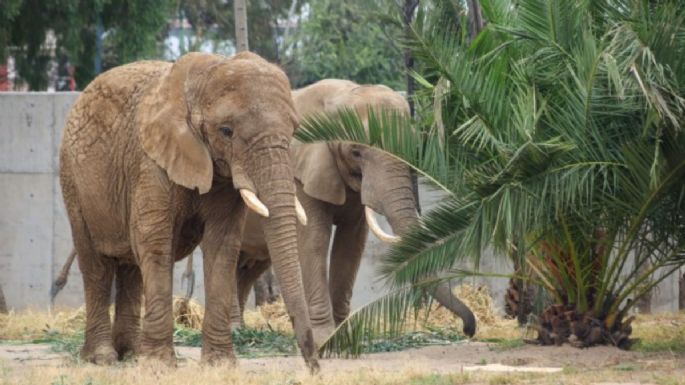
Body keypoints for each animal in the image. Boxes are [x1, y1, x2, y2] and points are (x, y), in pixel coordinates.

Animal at [57, 51, 316, 368]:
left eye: (294, 130)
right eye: (226, 131)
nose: (315, 368)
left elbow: (222, 247)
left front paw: (220, 364)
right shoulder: (150, 162)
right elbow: (155, 243)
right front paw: (158, 365)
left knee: (131, 267)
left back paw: (131, 353)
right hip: (73, 179)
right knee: (96, 266)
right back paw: (103, 358)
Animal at [230, 79, 476, 344]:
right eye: (356, 152)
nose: (468, 330)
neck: (341, 94)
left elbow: (351, 245)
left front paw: (341, 337)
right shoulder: (300, 172)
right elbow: (314, 240)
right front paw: (323, 338)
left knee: (249, 267)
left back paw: (240, 330)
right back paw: (234, 331)